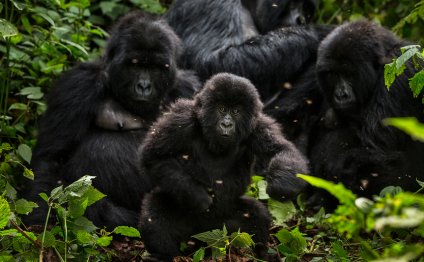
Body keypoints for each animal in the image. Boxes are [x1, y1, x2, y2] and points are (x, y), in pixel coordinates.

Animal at [23, 10, 200, 227]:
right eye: (134, 65)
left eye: (156, 68)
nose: (144, 86)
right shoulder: (78, 84)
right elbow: (52, 156)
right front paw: (39, 219)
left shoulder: (189, 88)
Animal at [139, 72, 308, 260]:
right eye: (221, 109)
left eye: (235, 111)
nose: (226, 124)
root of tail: (200, 238)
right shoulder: (181, 118)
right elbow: (154, 156)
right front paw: (197, 195)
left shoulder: (258, 125)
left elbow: (280, 150)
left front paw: (281, 186)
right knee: (154, 210)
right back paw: (161, 255)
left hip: (225, 227)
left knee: (256, 215)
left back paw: (261, 252)